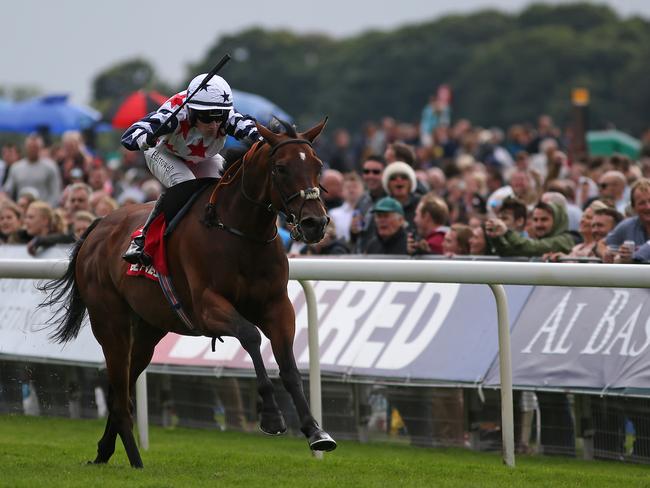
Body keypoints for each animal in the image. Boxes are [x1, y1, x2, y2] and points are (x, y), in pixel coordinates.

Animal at [40, 119, 334, 468]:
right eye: (281, 168)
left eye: (318, 165)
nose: (315, 223)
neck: (240, 233)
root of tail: (98, 228)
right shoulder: (207, 307)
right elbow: (250, 336)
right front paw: (272, 417)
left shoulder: (278, 306)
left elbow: (288, 366)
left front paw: (316, 431)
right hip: (111, 324)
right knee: (120, 396)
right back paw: (136, 461)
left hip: (148, 331)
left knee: (119, 391)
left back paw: (104, 452)